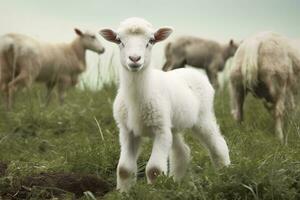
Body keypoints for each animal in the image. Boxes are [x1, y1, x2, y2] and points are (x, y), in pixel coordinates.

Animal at [99, 17, 231, 192]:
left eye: (151, 40)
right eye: (119, 40)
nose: (134, 59)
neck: (137, 99)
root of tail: (194, 72)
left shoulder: (160, 129)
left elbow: (154, 169)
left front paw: (154, 192)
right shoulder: (127, 130)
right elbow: (124, 169)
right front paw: (123, 192)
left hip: (202, 117)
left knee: (218, 145)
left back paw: (225, 175)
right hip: (172, 125)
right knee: (182, 152)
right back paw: (176, 182)